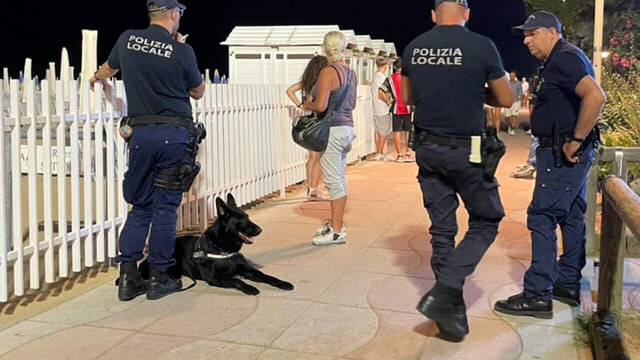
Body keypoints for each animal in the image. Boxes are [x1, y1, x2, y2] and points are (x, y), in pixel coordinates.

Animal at [138, 194, 296, 296]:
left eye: (248, 217)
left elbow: (268, 276)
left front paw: (282, 283)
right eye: (241, 220)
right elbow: (236, 280)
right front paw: (250, 288)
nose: (260, 230)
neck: (223, 249)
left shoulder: (249, 270)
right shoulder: (215, 278)